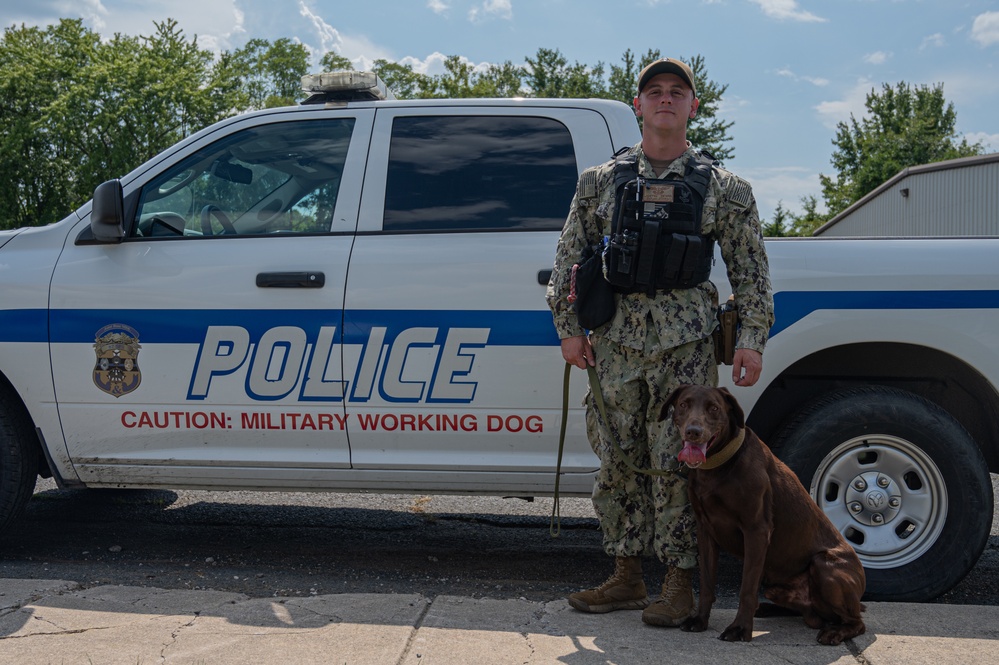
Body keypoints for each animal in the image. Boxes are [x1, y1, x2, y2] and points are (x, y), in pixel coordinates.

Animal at [664, 384, 868, 644]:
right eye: (683, 405)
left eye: (714, 408)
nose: (693, 432)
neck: (718, 467)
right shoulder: (705, 530)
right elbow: (707, 582)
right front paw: (700, 620)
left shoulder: (756, 531)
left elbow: (747, 588)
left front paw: (740, 629)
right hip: (775, 586)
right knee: (809, 612)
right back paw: (771, 609)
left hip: (825, 566)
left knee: (856, 622)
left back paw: (835, 632)